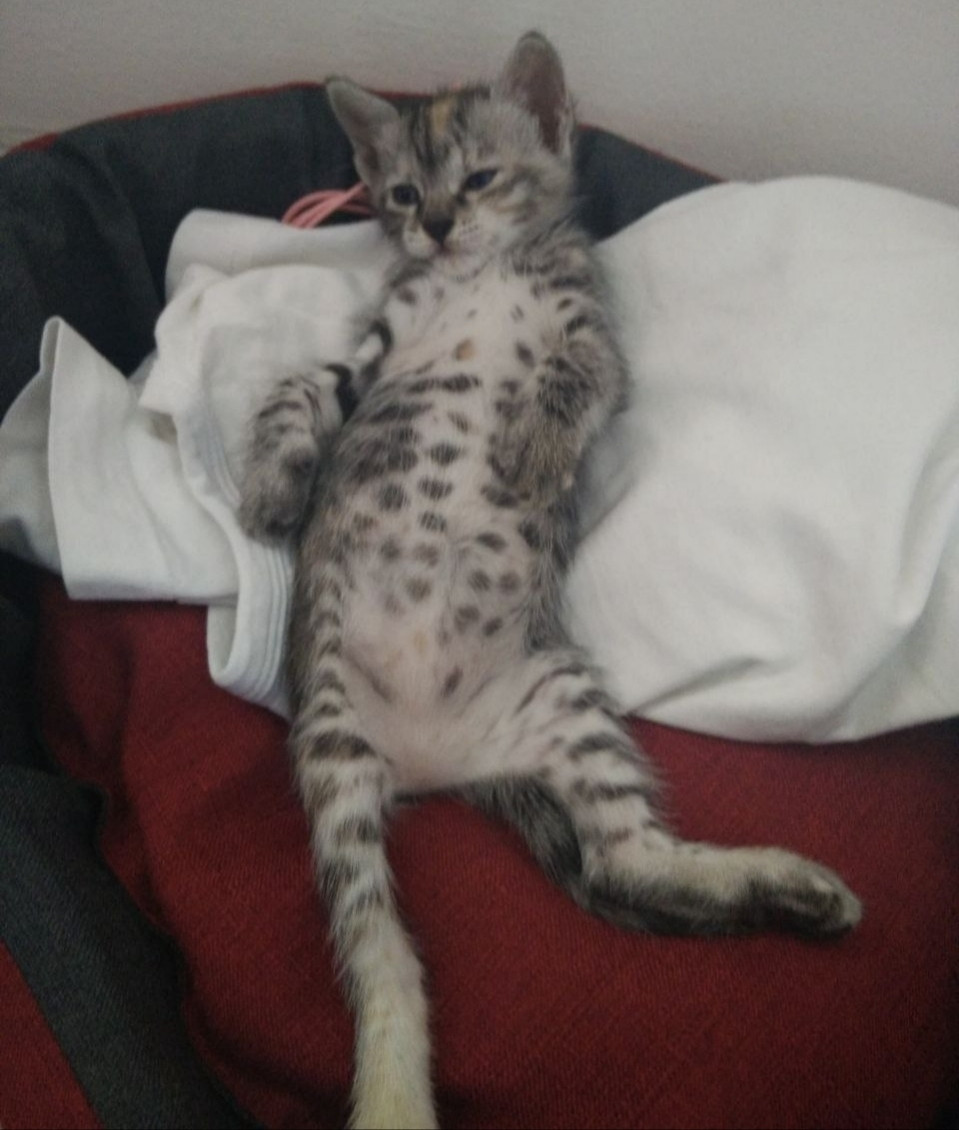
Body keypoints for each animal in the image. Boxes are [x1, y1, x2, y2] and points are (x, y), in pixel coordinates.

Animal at [237, 33, 858, 1130]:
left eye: (481, 178)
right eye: (402, 193)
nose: (438, 226)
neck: (481, 272)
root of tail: (439, 767)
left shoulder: (593, 335)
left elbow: (570, 378)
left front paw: (531, 448)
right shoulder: (372, 349)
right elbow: (302, 383)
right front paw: (276, 484)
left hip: (563, 699)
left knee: (624, 856)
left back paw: (789, 884)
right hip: (334, 758)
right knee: (382, 956)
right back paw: (392, 1093)